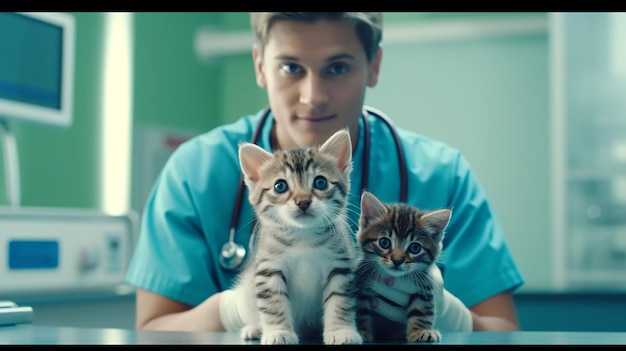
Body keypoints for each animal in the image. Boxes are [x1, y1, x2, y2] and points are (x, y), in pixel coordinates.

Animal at [232, 129, 364, 346]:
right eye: (280, 186)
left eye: (320, 182)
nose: (303, 202)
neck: (304, 237)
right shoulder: (269, 270)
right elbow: (273, 303)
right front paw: (278, 332)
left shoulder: (340, 267)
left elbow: (340, 300)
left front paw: (341, 330)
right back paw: (254, 328)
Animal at [352, 191, 448, 342]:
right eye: (384, 242)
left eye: (415, 248)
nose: (397, 261)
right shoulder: (361, 282)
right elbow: (360, 309)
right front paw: (361, 331)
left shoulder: (423, 287)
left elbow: (422, 311)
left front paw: (421, 331)